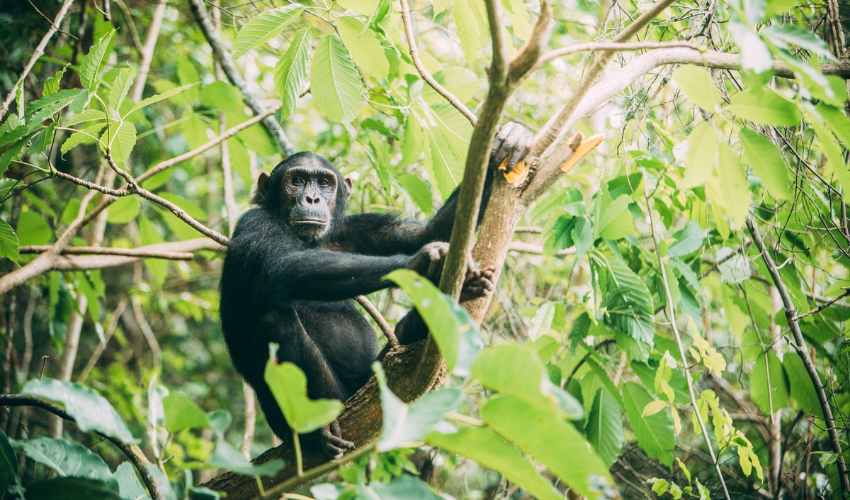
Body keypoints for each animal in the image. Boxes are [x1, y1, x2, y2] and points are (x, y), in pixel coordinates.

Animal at [222, 121, 532, 458]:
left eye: (324, 183)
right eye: (297, 180)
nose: (312, 198)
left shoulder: (358, 230)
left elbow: (423, 233)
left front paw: (507, 143)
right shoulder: (255, 225)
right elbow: (287, 265)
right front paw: (422, 263)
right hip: (333, 400)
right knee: (276, 323)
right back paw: (314, 433)